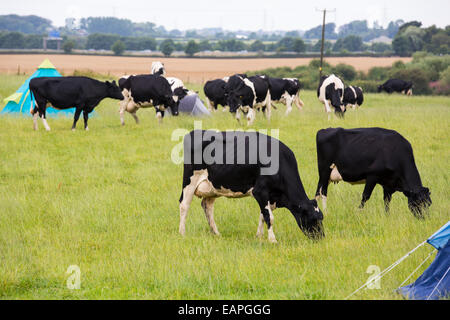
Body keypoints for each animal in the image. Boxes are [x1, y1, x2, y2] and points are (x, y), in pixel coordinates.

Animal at [178, 130, 324, 242]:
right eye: (313, 219)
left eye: (321, 217)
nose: (321, 237)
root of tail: (193, 132)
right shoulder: (260, 191)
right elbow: (269, 217)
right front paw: (272, 240)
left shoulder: (270, 197)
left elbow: (263, 215)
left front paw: (259, 236)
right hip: (189, 180)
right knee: (184, 205)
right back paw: (182, 233)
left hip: (213, 187)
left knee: (207, 206)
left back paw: (216, 233)